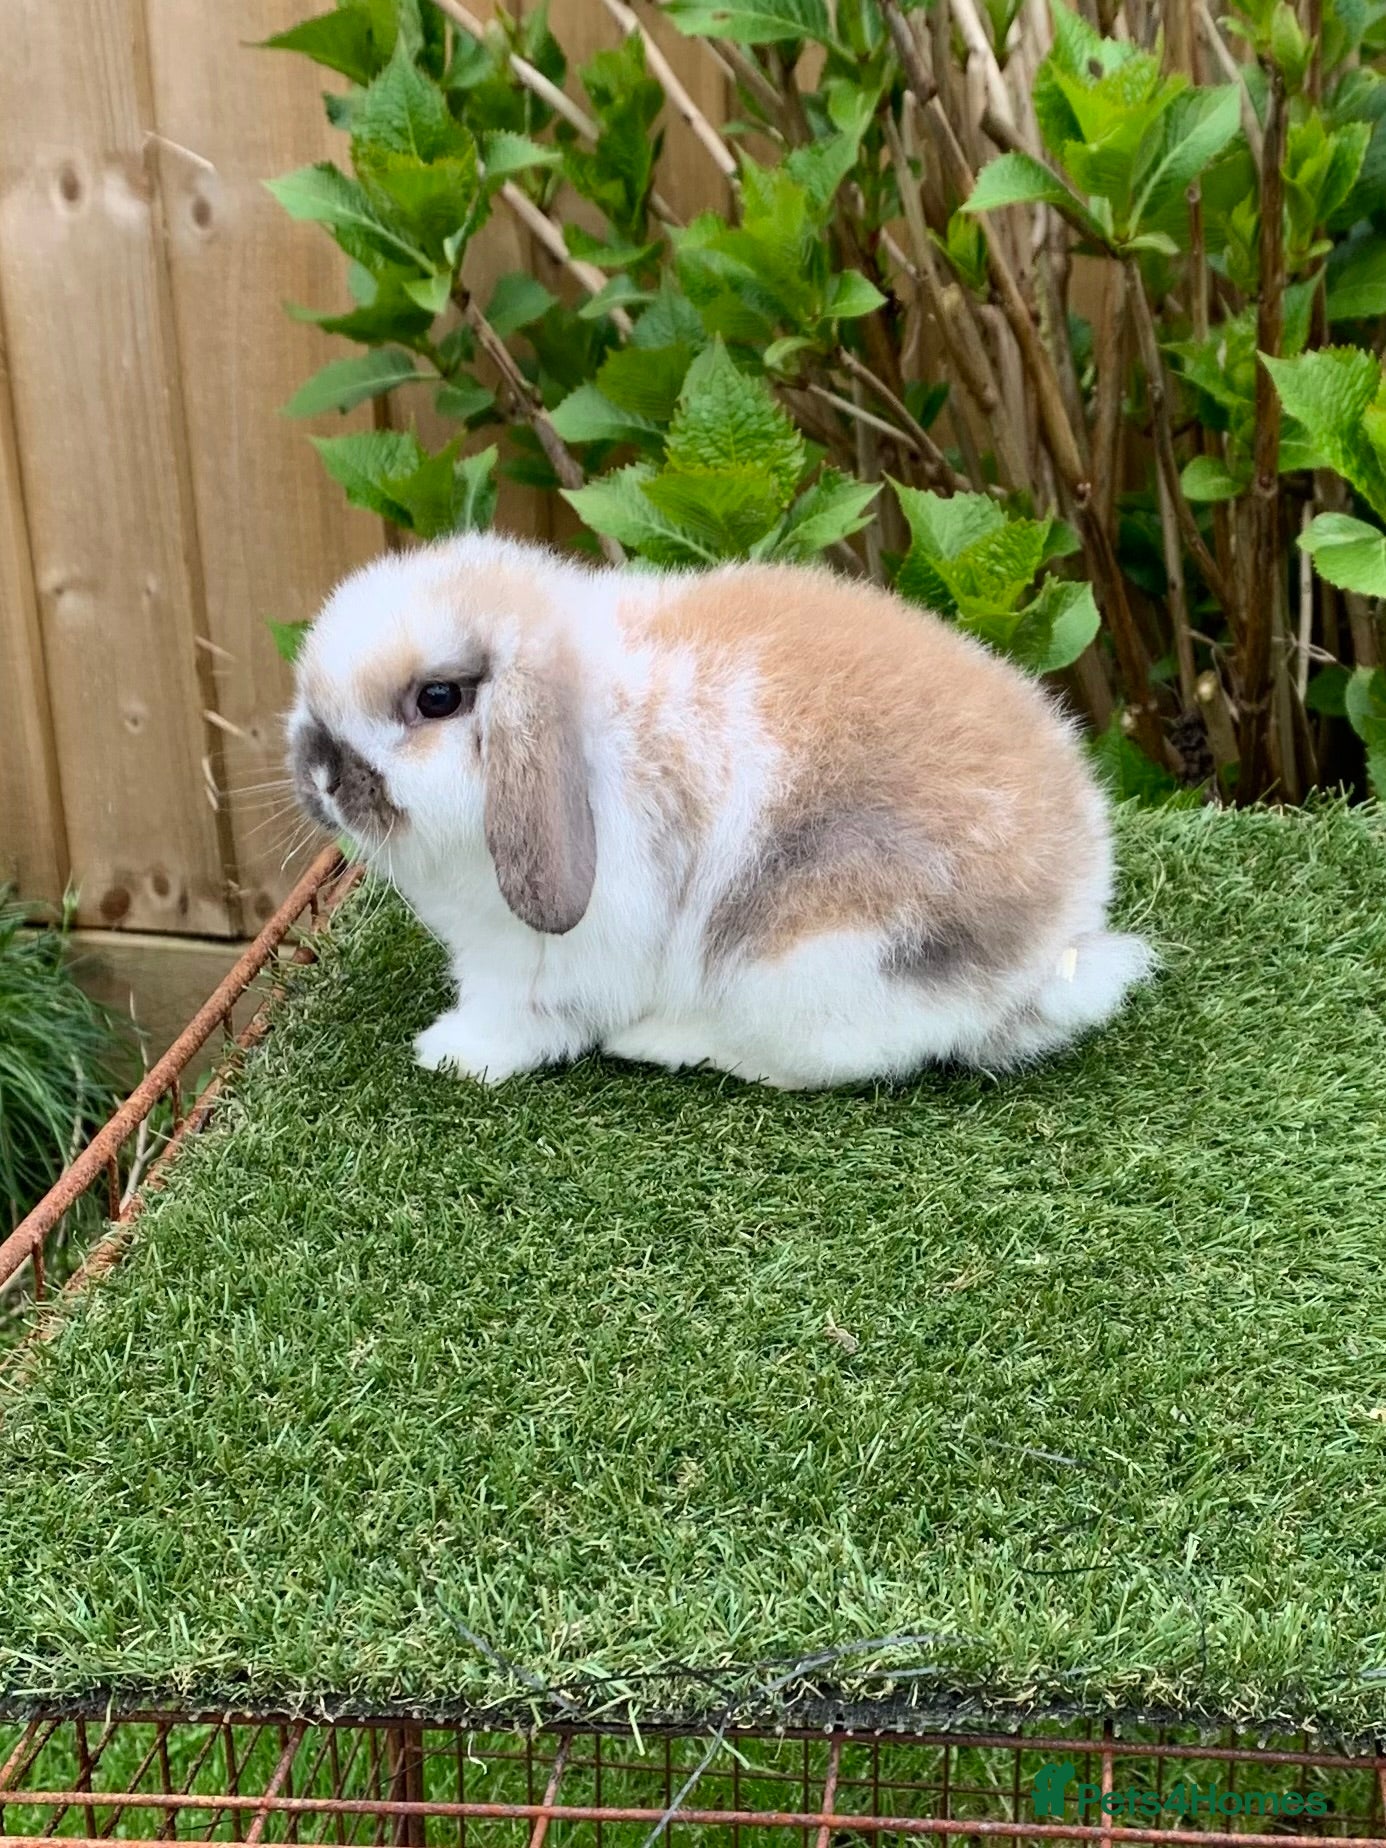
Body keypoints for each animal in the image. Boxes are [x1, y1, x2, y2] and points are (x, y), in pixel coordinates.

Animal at [287, 532, 1152, 1090]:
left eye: (437, 698)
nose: (322, 774)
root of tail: (1048, 951)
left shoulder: (539, 958)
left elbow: (518, 1017)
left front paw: (452, 1054)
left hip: (803, 955)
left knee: (819, 1064)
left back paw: (660, 1043)